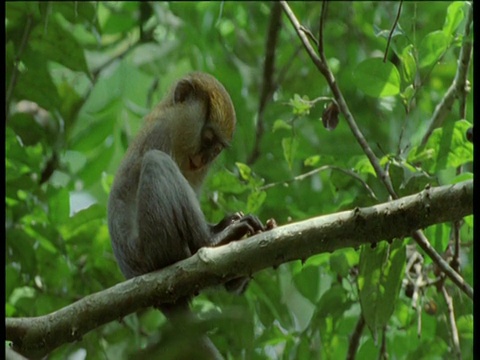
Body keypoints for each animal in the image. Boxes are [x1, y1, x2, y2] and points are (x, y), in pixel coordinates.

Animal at [107, 71, 264, 358]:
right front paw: (217, 235)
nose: (203, 160)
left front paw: (225, 224)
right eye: (208, 139)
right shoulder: (162, 131)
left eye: (217, 149)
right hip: (155, 246)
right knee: (156, 162)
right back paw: (211, 242)